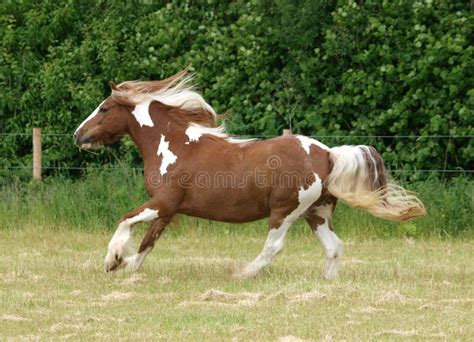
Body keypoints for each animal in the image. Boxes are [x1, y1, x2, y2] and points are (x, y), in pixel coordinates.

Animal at [75, 70, 426, 280]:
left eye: (104, 108)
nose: (79, 136)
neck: (172, 145)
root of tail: (327, 154)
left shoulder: (163, 202)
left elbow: (126, 221)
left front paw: (112, 259)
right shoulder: (168, 209)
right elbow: (148, 241)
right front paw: (127, 268)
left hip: (285, 211)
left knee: (274, 247)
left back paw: (242, 273)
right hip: (317, 212)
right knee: (334, 246)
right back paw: (327, 283)